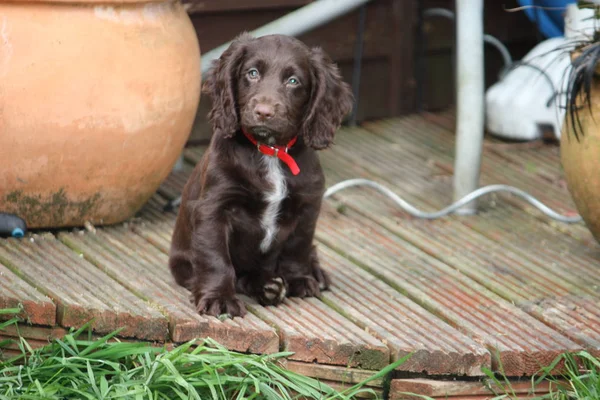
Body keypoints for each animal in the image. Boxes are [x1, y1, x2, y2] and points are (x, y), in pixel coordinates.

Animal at [169, 32, 354, 318]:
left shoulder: (308, 205)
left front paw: (299, 279)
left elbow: (298, 247)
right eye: (252, 73)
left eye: (293, 81)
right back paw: (268, 287)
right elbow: (215, 257)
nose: (264, 112)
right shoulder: (213, 208)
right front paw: (218, 298)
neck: (271, 152)